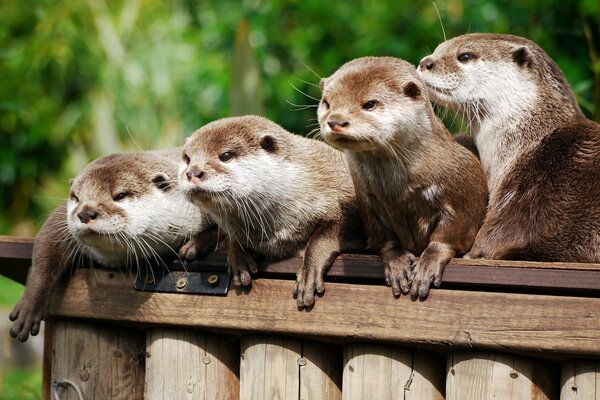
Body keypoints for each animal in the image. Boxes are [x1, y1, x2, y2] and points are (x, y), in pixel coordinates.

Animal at [9, 150, 213, 340]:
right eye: (76, 197)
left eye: (120, 195)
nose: (85, 212)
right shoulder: (61, 220)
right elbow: (47, 245)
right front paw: (29, 306)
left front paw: (196, 244)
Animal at [178, 114, 366, 308]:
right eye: (187, 159)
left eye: (226, 155)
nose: (192, 173)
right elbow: (232, 235)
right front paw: (239, 255)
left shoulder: (346, 198)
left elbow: (323, 237)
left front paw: (308, 274)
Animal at [318, 57, 488, 298]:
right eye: (327, 103)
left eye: (370, 104)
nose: (336, 121)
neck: (400, 192)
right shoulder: (368, 200)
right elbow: (383, 238)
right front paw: (396, 263)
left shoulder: (465, 192)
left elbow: (450, 235)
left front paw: (427, 265)